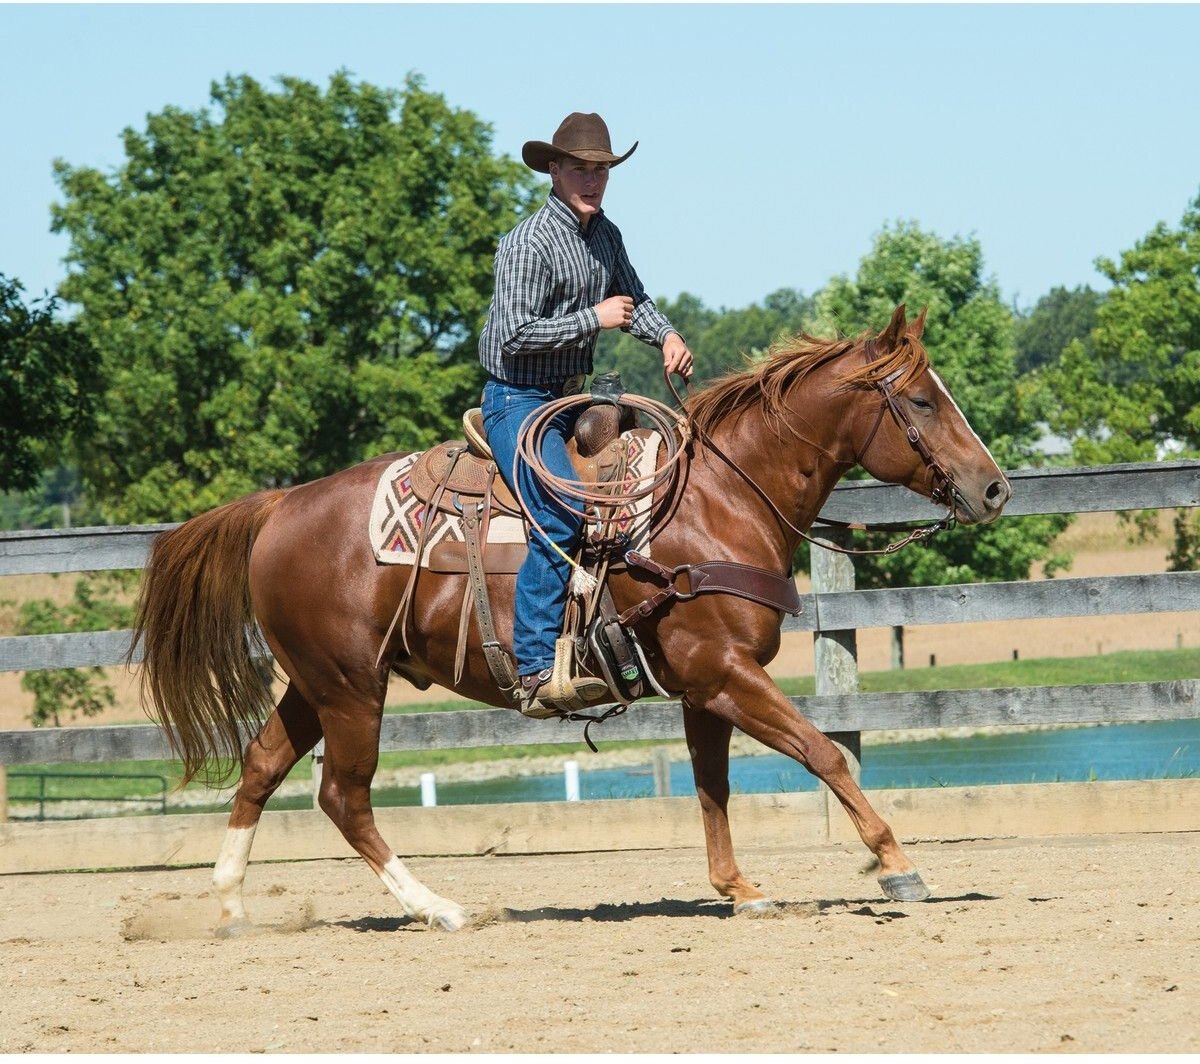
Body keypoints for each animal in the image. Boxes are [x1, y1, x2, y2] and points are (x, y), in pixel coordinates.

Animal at [131, 301, 1012, 930]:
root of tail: (280, 506)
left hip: (316, 684)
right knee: (343, 797)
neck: (713, 500)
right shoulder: (726, 674)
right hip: (351, 688)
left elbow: (714, 787)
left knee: (261, 766)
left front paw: (739, 888)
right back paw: (440, 908)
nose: (995, 488)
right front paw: (897, 864)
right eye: (924, 399)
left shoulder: (704, 687)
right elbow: (824, 753)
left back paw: (232, 905)